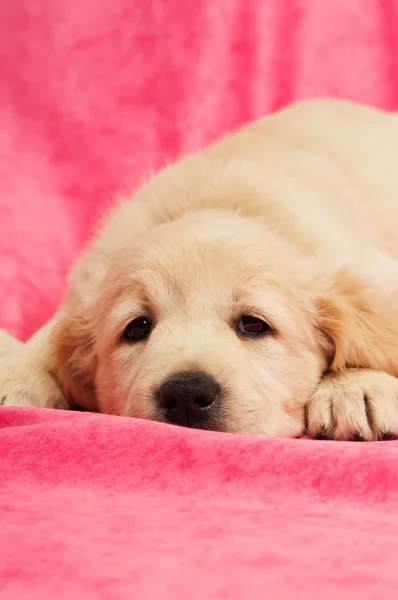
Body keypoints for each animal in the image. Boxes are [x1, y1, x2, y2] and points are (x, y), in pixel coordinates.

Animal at [2, 98, 398, 440]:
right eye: (137, 327)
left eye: (254, 324)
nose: (186, 394)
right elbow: (47, 336)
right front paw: (18, 376)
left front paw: (357, 385)